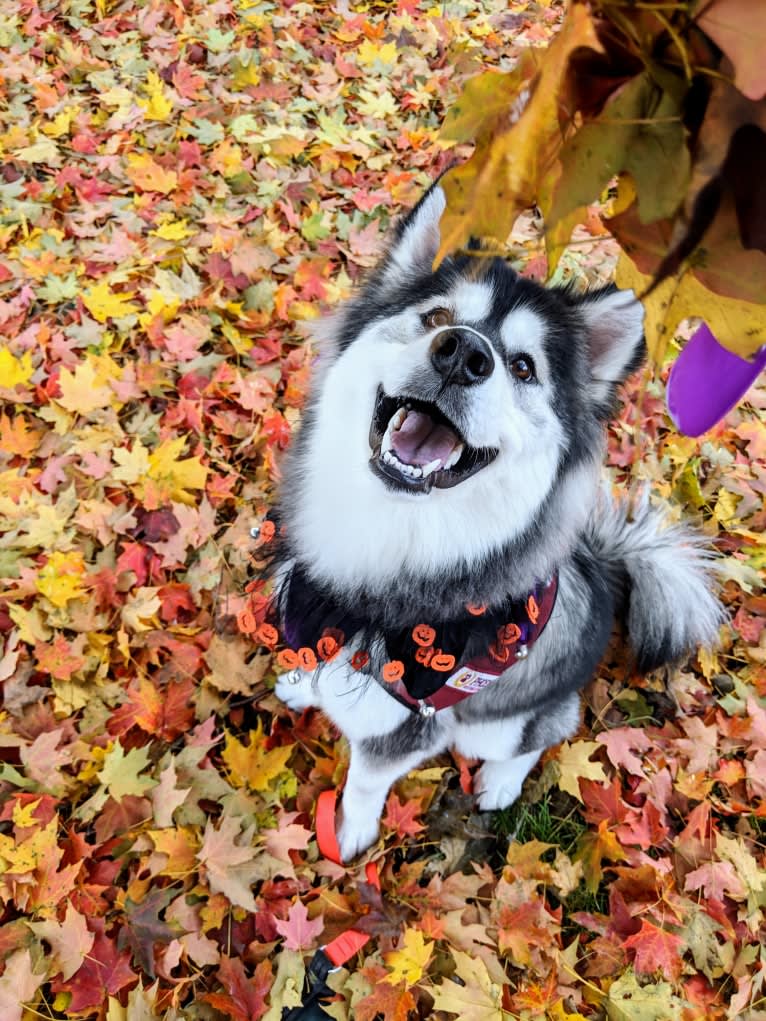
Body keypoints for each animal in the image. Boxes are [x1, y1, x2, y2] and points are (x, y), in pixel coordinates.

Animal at [265, 181, 727, 861]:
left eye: (525, 367)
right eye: (436, 318)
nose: (462, 354)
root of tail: (602, 570)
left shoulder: (406, 729)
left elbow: (364, 784)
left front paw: (350, 832)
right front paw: (305, 679)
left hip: (505, 723)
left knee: (548, 731)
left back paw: (501, 782)